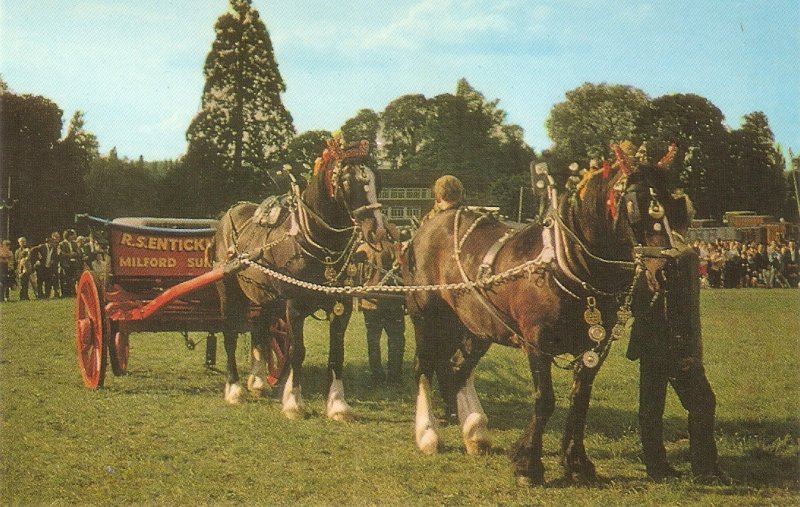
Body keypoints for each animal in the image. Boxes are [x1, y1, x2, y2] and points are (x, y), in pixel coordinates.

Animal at [211, 139, 386, 420]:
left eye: (376, 179)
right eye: (347, 181)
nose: (378, 230)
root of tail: (229, 214)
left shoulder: (342, 306)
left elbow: (336, 353)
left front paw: (338, 404)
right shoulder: (293, 306)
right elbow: (296, 351)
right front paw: (294, 402)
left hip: (264, 298)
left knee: (260, 331)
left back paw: (258, 382)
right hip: (228, 292)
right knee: (229, 333)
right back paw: (234, 389)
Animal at [404, 145, 692, 486]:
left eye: (678, 205)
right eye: (637, 206)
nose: (670, 271)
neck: (568, 264)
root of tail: (429, 226)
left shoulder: (596, 346)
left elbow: (580, 400)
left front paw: (577, 463)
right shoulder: (536, 342)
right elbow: (545, 399)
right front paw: (527, 465)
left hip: (478, 326)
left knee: (458, 368)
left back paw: (475, 433)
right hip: (426, 316)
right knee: (424, 367)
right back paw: (428, 435)